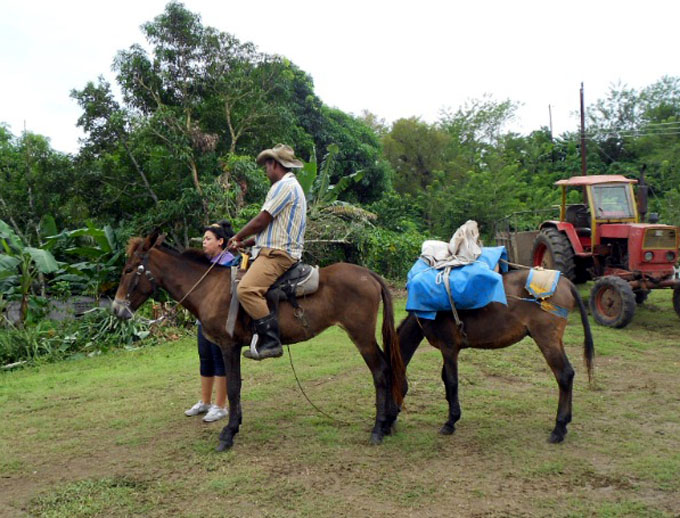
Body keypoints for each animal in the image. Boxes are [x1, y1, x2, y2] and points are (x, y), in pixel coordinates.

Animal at [113, 234, 404, 452]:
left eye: (129, 269)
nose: (116, 309)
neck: (209, 288)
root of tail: (369, 274)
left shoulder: (228, 346)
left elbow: (232, 387)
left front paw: (228, 433)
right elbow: (236, 387)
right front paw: (235, 425)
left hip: (361, 335)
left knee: (380, 371)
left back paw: (378, 428)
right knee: (388, 367)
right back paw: (389, 421)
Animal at [396, 270, 592, 444]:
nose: (389, 427)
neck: (427, 312)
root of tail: (565, 282)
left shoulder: (449, 348)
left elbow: (451, 382)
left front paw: (451, 421)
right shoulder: (449, 350)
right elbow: (446, 379)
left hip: (546, 340)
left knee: (564, 375)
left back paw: (559, 428)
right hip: (554, 341)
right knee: (568, 374)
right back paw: (564, 425)